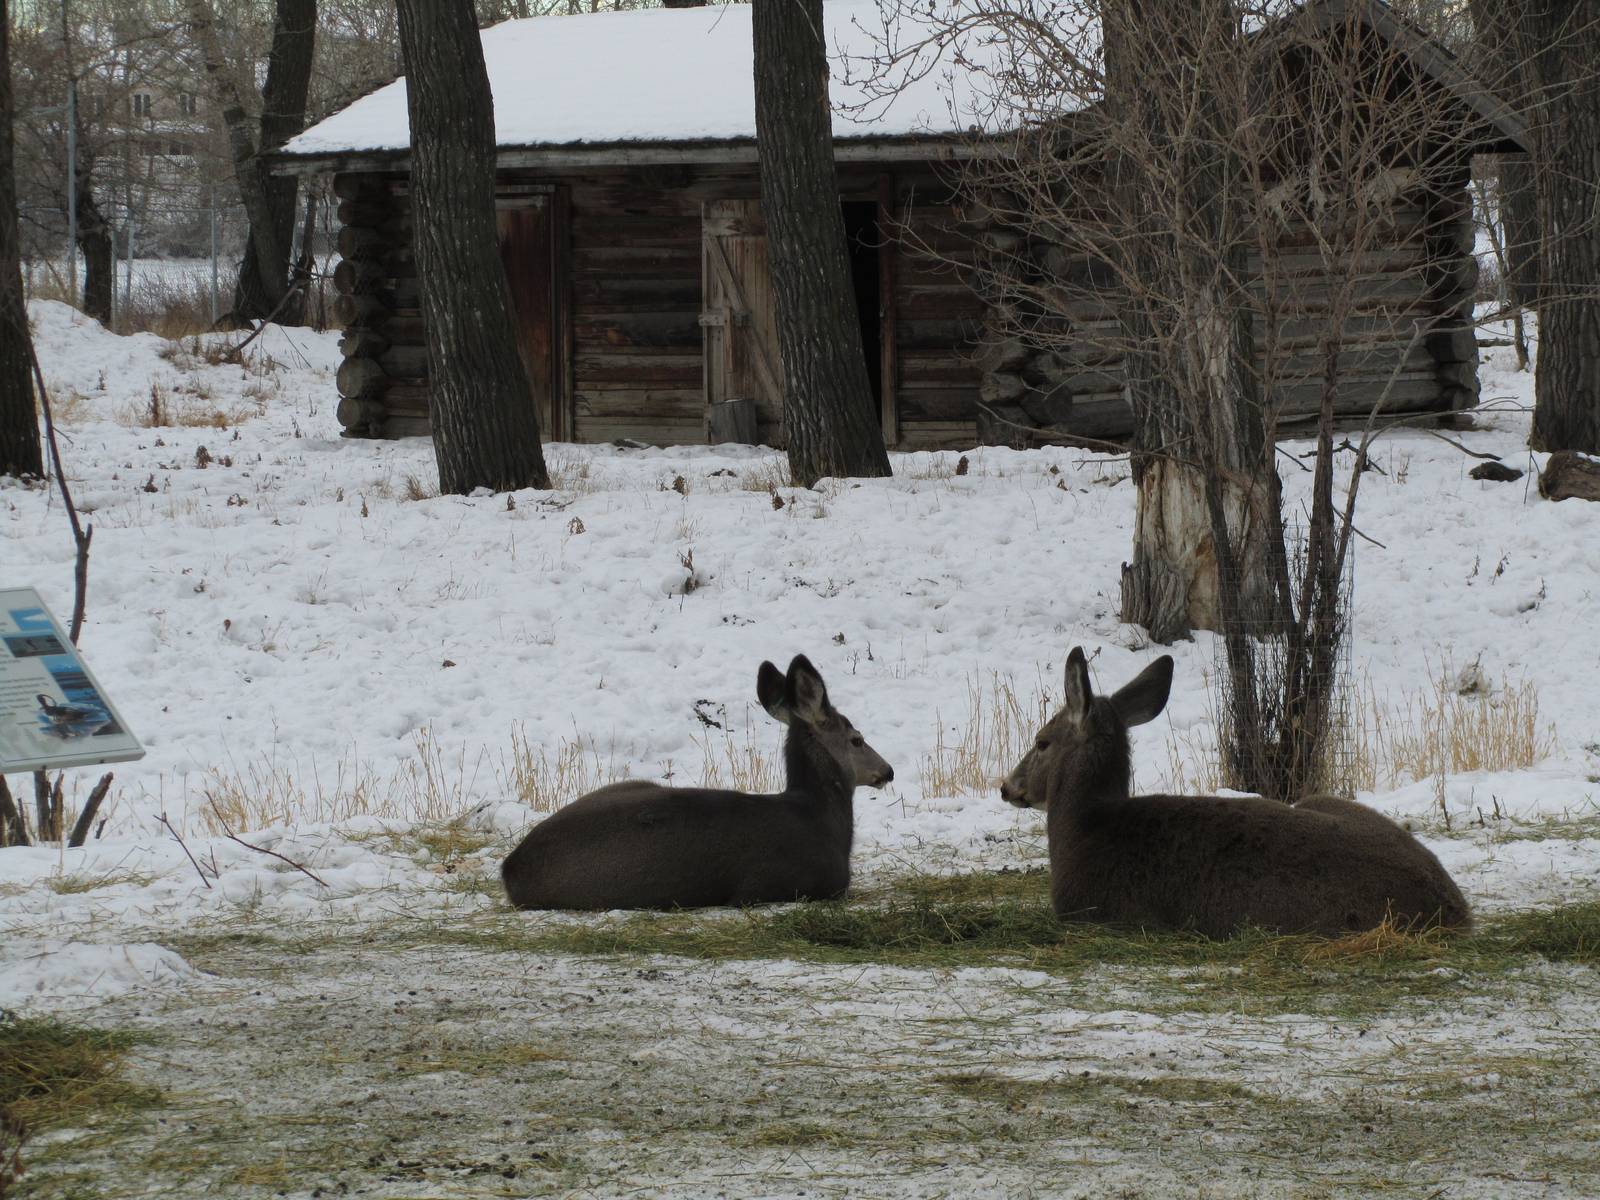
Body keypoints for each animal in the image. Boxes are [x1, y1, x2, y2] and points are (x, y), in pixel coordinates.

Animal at [999, 647, 1471, 939]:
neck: (1085, 831)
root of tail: (1456, 910)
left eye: (1042, 742)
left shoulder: (1092, 912)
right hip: (1321, 800)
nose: (1007, 786)